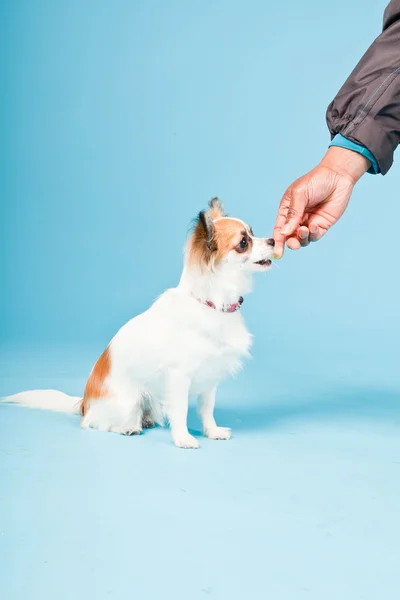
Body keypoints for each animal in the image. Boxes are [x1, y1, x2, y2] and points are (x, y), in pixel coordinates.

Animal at [3, 199, 276, 448]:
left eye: (253, 232)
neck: (210, 304)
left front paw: (212, 431)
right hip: (127, 402)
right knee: (93, 423)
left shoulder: (210, 376)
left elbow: (207, 409)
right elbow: (180, 411)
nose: (273, 240)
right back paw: (128, 428)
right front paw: (183, 438)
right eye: (244, 243)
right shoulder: (178, 377)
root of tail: (84, 403)